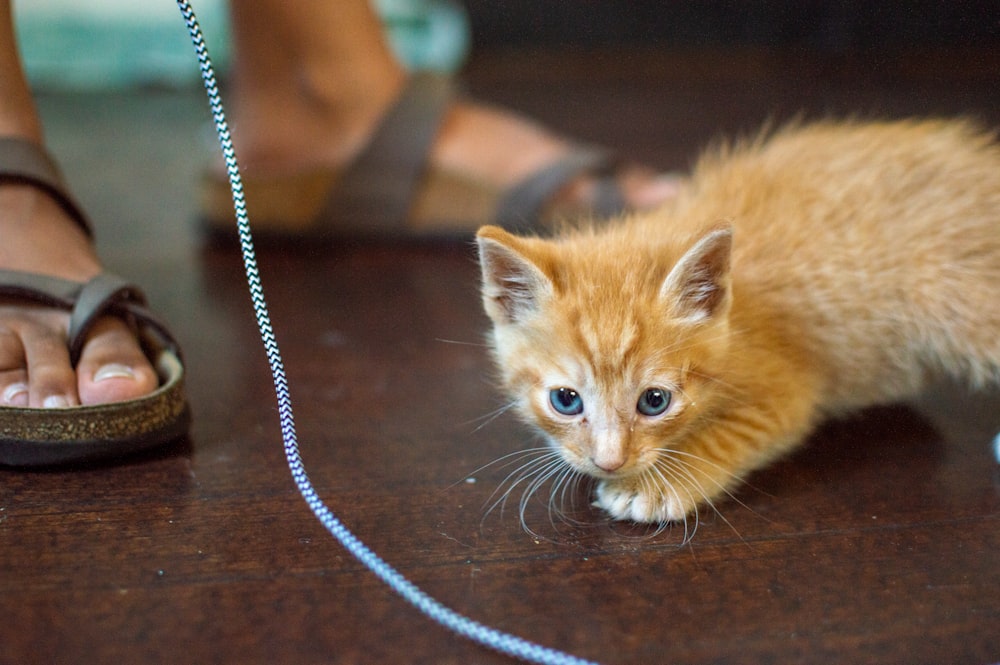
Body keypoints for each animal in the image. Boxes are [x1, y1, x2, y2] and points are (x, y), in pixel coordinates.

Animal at [478, 119, 1000, 524]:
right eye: (565, 400)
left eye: (654, 401)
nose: (609, 462)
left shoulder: (786, 389)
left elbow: (729, 432)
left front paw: (657, 483)